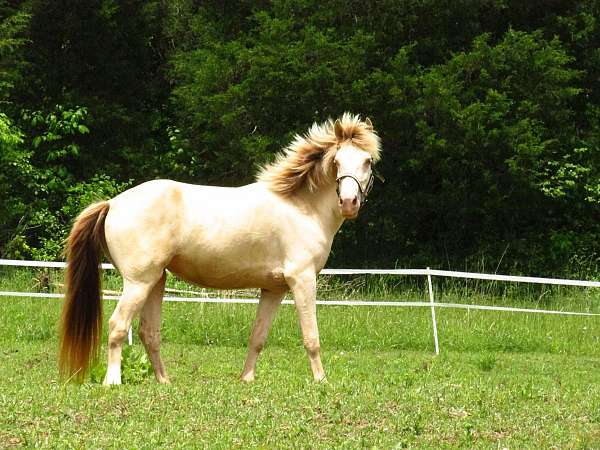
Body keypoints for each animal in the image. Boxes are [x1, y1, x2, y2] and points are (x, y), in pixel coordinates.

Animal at [58, 112, 382, 384]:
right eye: (337, 162)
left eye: (367, 161)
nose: (349, 203)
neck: (301, 207)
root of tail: (112, 203)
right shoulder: (302, 280)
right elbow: (311, 337)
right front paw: (321, 381)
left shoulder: (274, 288)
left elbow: (258, 336)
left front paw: (247, 379)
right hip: (138, 282)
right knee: (117, 326)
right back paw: (113, 382)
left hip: (155, 281)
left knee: (148, 333)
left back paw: (164, 382)